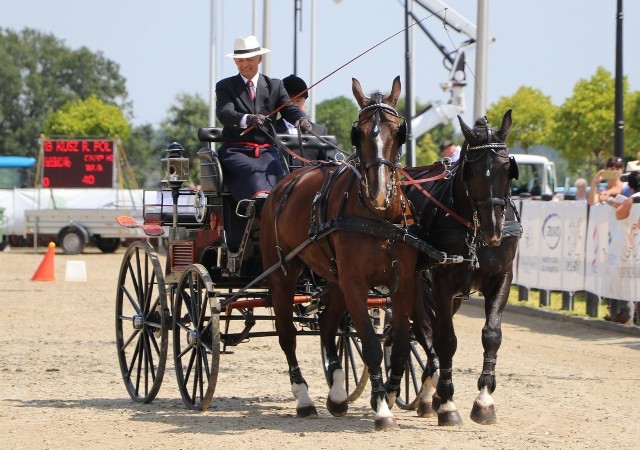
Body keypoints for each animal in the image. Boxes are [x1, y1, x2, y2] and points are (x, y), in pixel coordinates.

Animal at [260, 76, 420, 428]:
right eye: (358, 132)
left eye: (398, 131)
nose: (378, 193)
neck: (378, 218)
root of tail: (284, 182)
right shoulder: (355, 283)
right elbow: (372, 345)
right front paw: (382, 408)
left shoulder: (402, 284)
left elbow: (401, 343)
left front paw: (390, 393)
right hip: (282, 274)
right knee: (287, 334)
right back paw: (304, 399)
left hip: (334, 280)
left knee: (328, 325)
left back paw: (336, 395)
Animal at [404, 110, 520, 426]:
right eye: (473, 169)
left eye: (507, 167)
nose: (494, 231)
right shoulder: (442, 282)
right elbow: (446, 340)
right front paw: (447, 403)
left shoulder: (502, 277)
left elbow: (491, 334)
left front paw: (484, 400)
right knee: (423, 329)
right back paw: (430, 391)